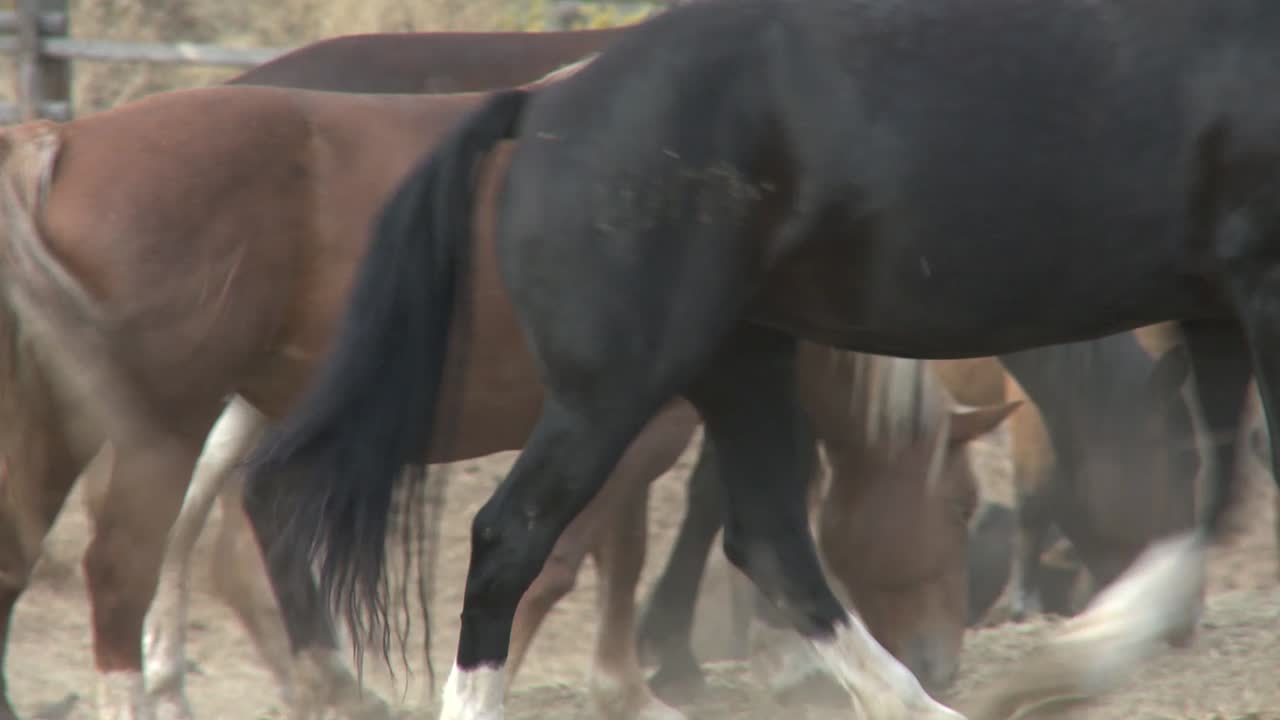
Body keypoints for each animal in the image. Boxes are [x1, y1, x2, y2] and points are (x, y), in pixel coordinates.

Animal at [247, 1, 1275, 718]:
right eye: (957, 506)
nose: (1188, 634)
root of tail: (543, 106)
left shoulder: (1218, 307)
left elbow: (1221, 488)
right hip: (614, 389)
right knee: (510, 537)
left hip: (737, 362)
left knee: (773, 539)